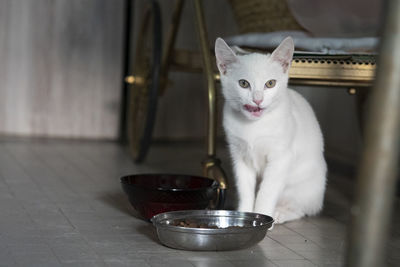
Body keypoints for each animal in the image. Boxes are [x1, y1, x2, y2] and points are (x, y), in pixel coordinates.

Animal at [216, 36, 324, 224]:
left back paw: (280, 213)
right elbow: (245, 188)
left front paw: (262, 215)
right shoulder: (239, 156)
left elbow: (267, 191)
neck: (254, 126)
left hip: (303, 185)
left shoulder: (281, 157)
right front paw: (243, 214)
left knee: (301, 208)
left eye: (270, 83)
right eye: (243, 83)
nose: (258, 100)